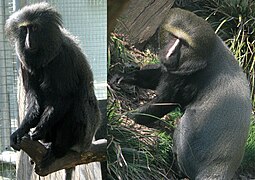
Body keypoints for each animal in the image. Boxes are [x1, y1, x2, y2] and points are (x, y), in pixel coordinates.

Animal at [5, 2, 106, 176]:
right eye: (24, 29)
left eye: (35, 28)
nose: (28, 42)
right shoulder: (24, 64)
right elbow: (34, 98)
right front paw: (21, 130)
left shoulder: (64, 58)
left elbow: (63, 98)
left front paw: (39, 129)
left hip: (84, 134)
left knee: (77, 104)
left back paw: (58, 149)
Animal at [117, 8, 251, 179]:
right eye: (174, 36)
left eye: (184, 43)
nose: (170, 54)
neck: (210, 51)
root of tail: (221, 167)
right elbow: (157, 75)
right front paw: (124, 77)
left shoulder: (189, 78)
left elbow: (165, 101)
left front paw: (130, 116)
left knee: (184, 124)